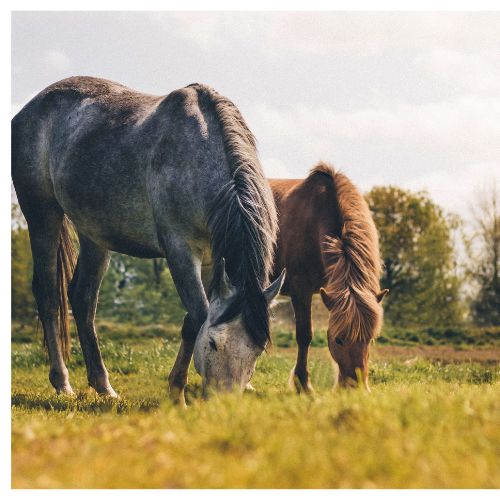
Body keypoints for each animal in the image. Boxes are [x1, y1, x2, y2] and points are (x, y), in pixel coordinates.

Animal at [11, 78, 286, 406]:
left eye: (257, 350)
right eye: (213, 344)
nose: (225, 403)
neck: (199, 155)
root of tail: (28, 110)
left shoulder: (210, 259)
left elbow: (191, 322)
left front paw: (176, 389)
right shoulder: (180, 252)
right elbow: (198, 316)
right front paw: (178, 394)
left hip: (94, 235)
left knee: (82, 299)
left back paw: (103, 385)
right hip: (43, 215)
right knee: (49, 296)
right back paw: (62, 382)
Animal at [270, 162, 390, 392]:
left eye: (369, 339)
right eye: (338, 340)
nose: (356, 388)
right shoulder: (301, 290)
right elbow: (304, 336)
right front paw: (303, 384)